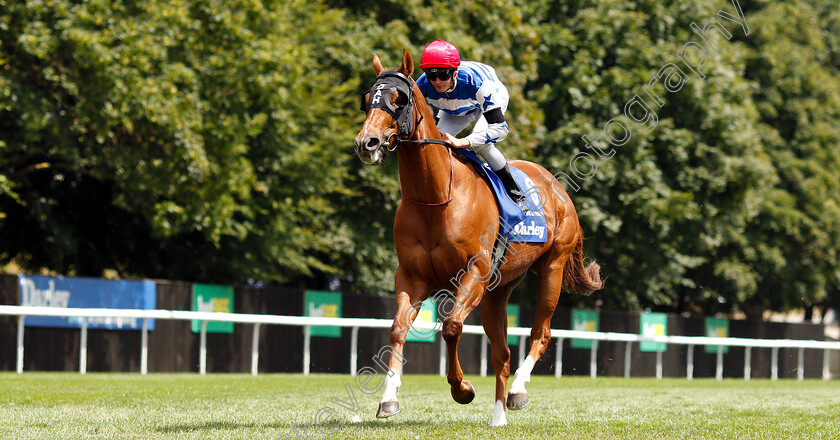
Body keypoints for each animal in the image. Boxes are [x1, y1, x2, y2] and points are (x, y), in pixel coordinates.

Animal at [352, 48, 600, 426]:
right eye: (368, 99)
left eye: (399, 98)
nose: (367, 143)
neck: (438, 197)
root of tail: (557, 188)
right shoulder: (412, 275)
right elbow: (397, 329)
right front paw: (389, 397)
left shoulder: (475, 271)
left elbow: (452, 326)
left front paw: (463, 388)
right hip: (499, 289)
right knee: (502, 353)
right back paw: (499, 416)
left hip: (553, 267)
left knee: (540, 333)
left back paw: (517, 391)